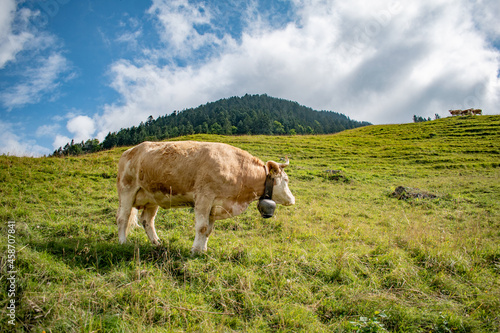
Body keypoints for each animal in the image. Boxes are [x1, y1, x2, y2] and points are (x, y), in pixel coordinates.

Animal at [116, 139, 296, 252]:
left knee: (147, 221)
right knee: (122, 218)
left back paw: (157, 243)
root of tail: (131, 150)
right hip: (127, 191)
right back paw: (123, 242)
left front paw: (203, 250)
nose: (293, 200)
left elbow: (208, 230)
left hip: (152, 198)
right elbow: (201, 227)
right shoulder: (204, 198)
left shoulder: (215, 206)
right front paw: (195, 250)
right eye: (286, 180)